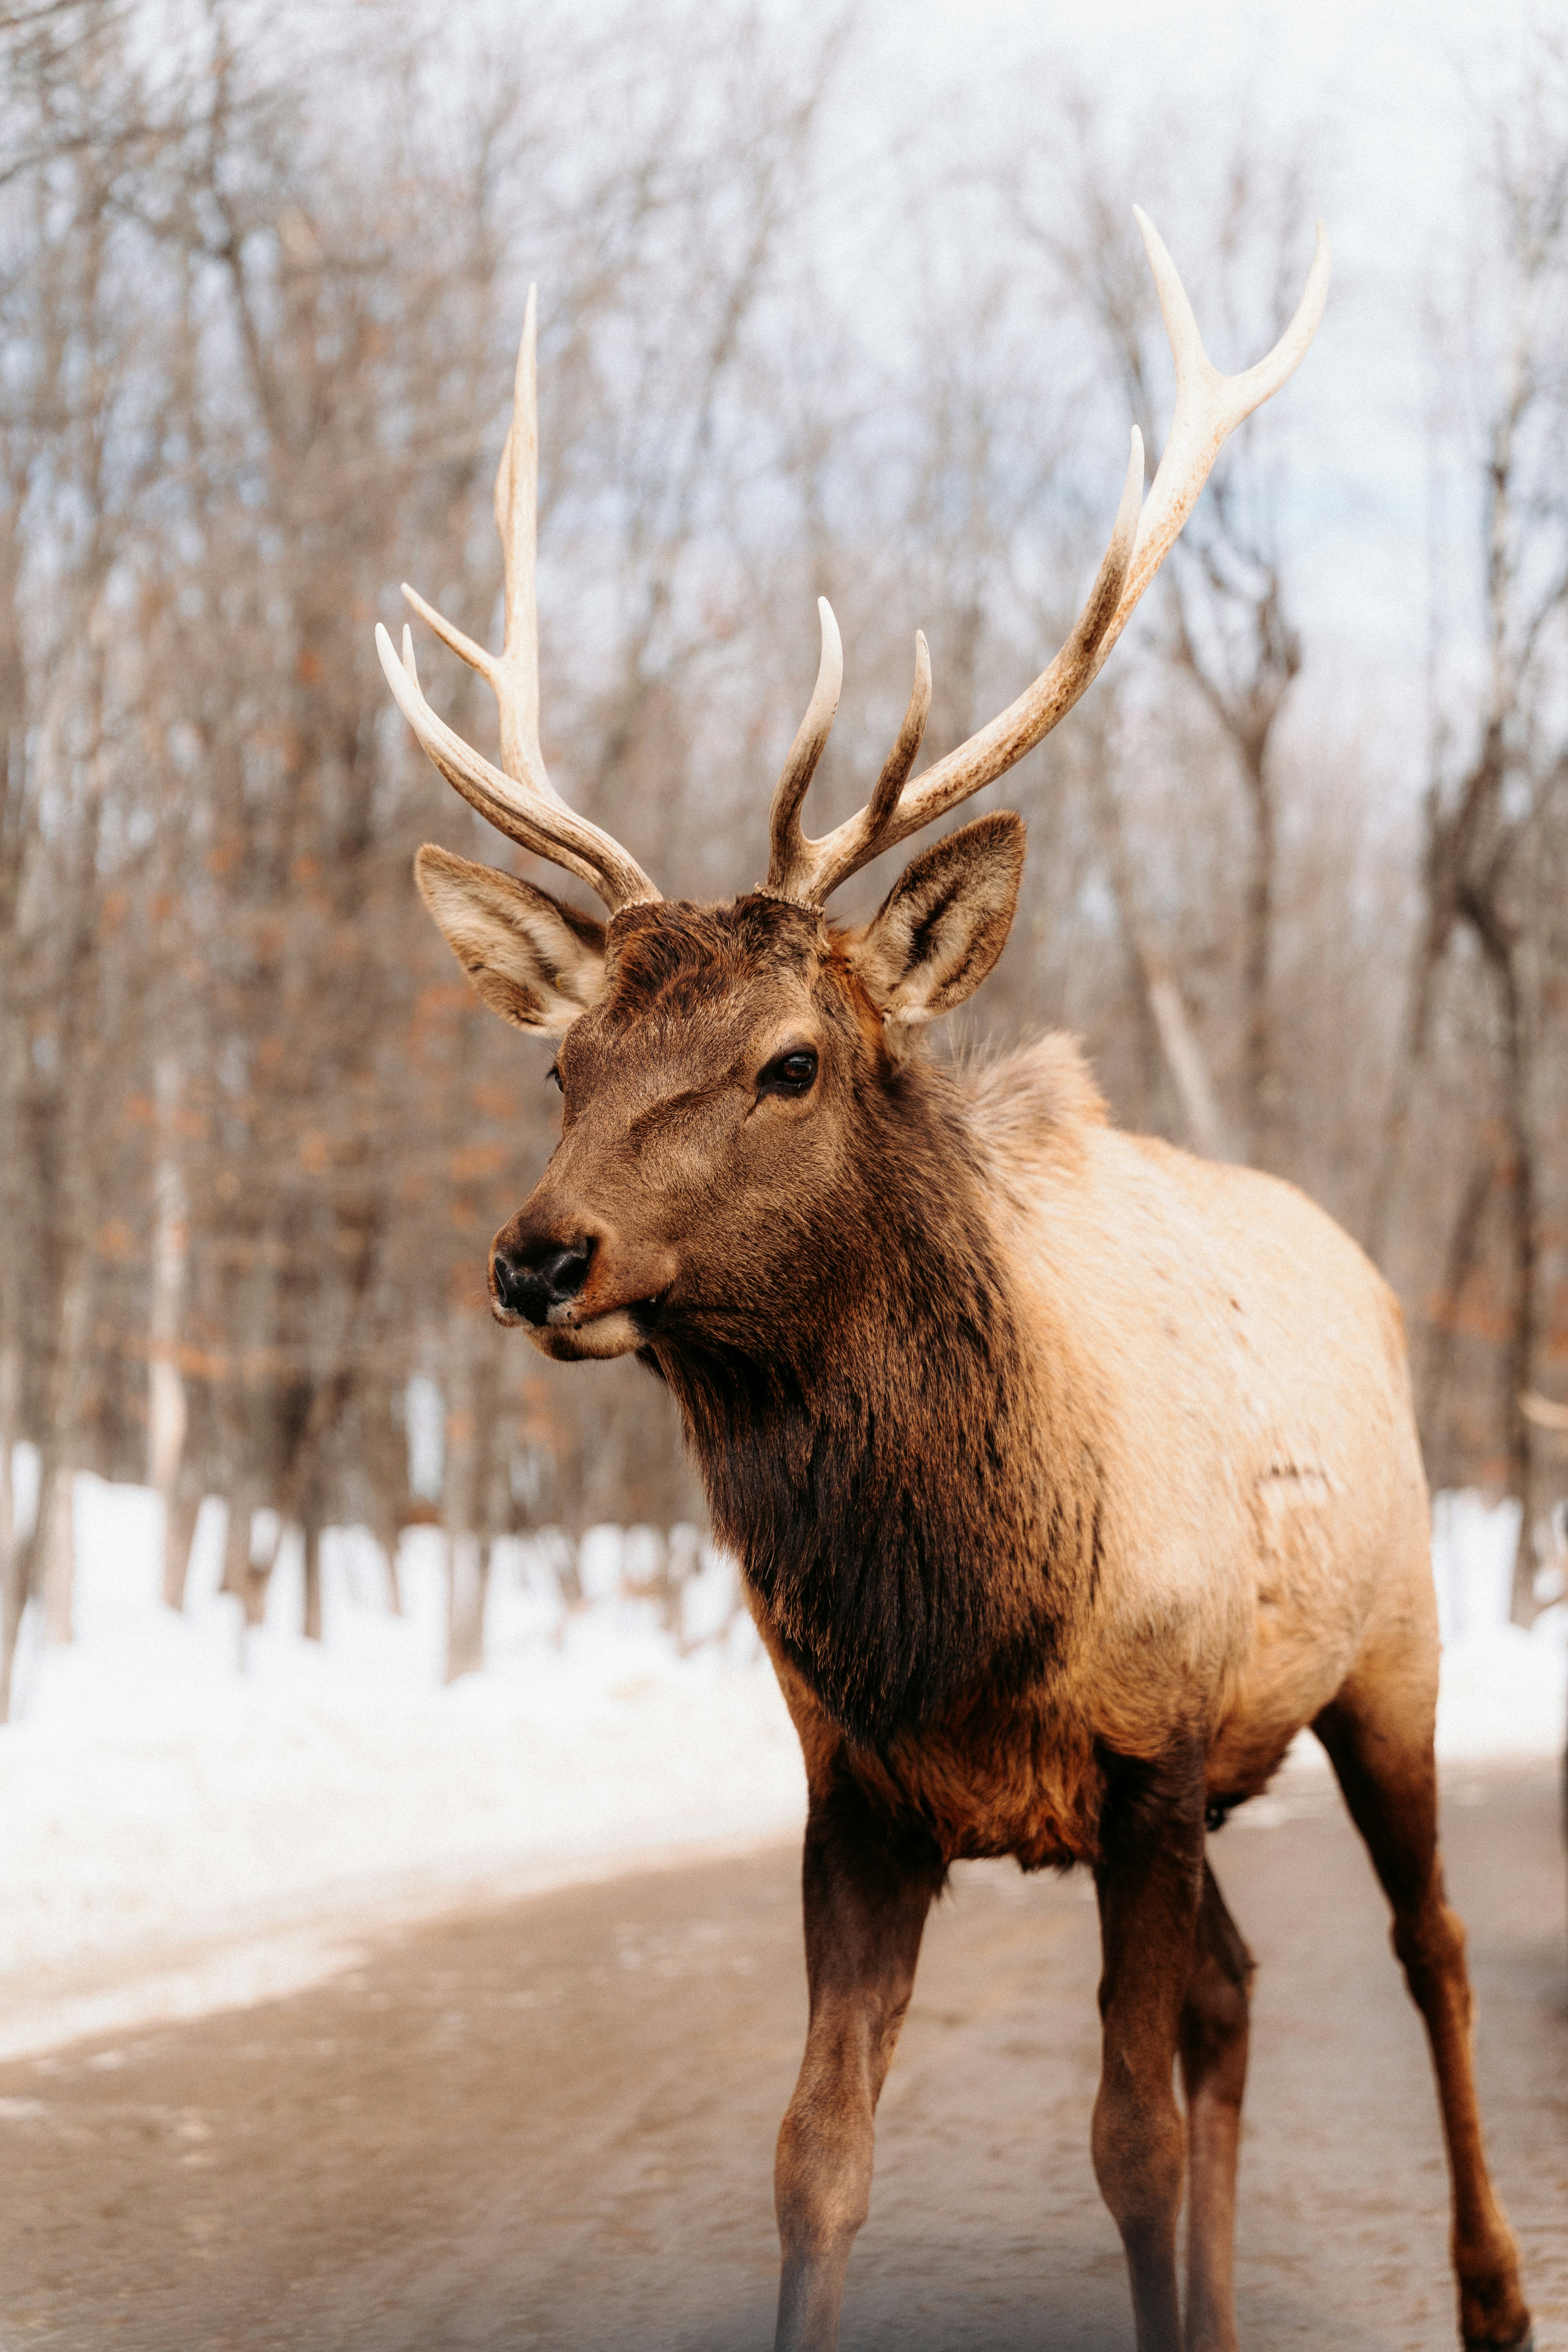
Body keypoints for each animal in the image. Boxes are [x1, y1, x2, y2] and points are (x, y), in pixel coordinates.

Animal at [374, 213, 1533, 2352]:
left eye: (789, 1061)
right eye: (566, 1067)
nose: (537, 1256)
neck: (954, 1610)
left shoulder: (1152, 1754)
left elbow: (1123, 2142)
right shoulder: (860, 1792)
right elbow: (811, 2156)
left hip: (1389, 1650)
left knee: (1426, 1943)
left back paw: (1489, 2288)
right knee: (1242, 1996)